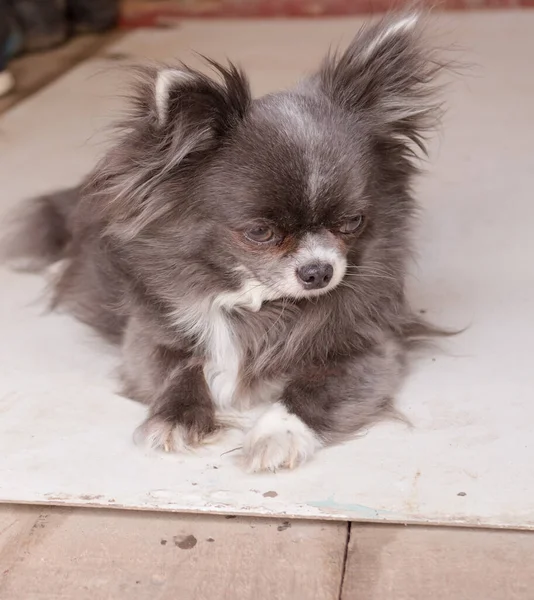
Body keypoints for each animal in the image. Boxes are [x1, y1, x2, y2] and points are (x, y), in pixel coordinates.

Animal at [5, 11, 448, 472]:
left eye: (351, 222)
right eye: (259, 233)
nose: (319, 271)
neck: (256, 301)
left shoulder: (371, 349)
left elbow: (312, 391)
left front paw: (277, 434)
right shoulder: (146, 340)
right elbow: (183, 368)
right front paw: (175, 418)